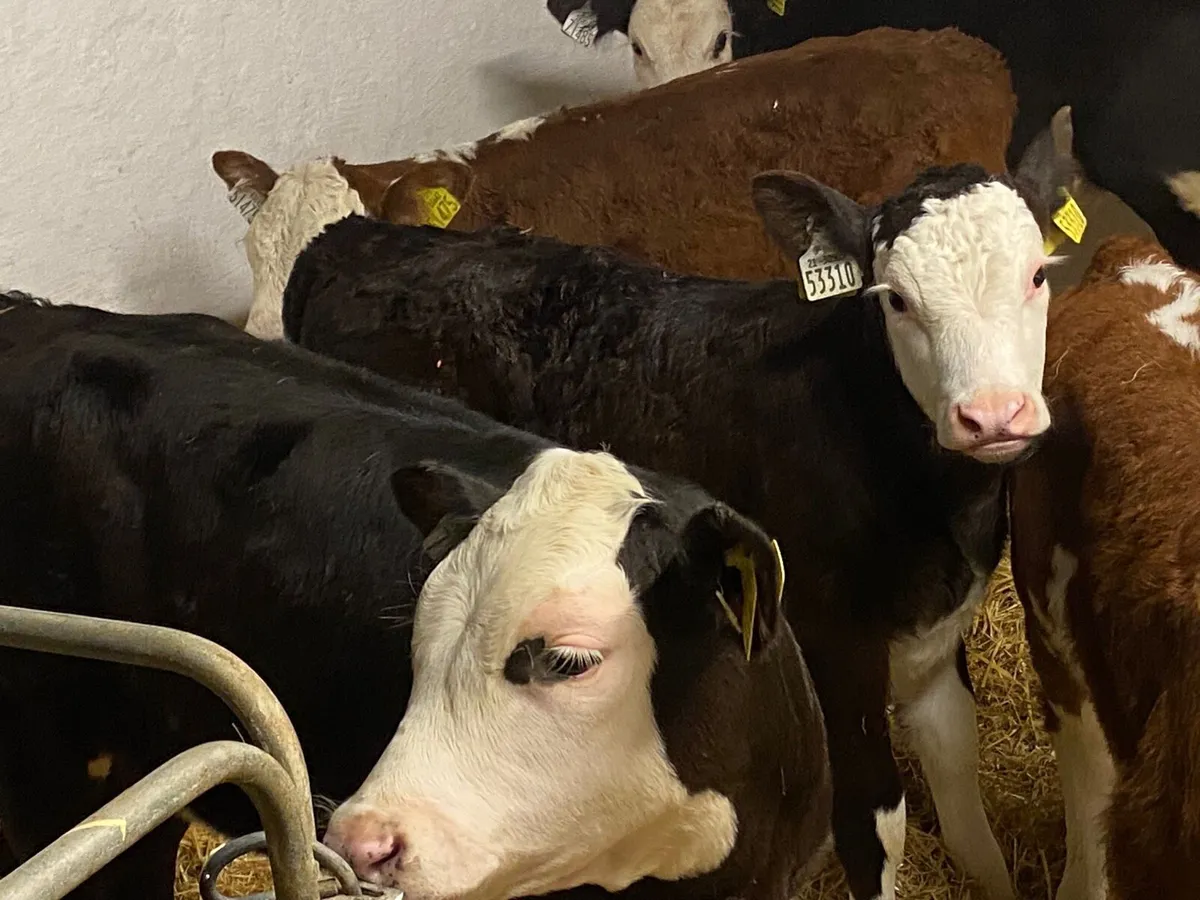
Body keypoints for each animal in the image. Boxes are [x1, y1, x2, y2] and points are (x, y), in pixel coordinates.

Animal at [230, 107, 1078, 899]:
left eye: (1039, 275)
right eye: (896, 298)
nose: (994, 414)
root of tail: (363, 239)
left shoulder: (937, 634)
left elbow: (960, 783)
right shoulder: (836, 647)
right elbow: (877, 826)